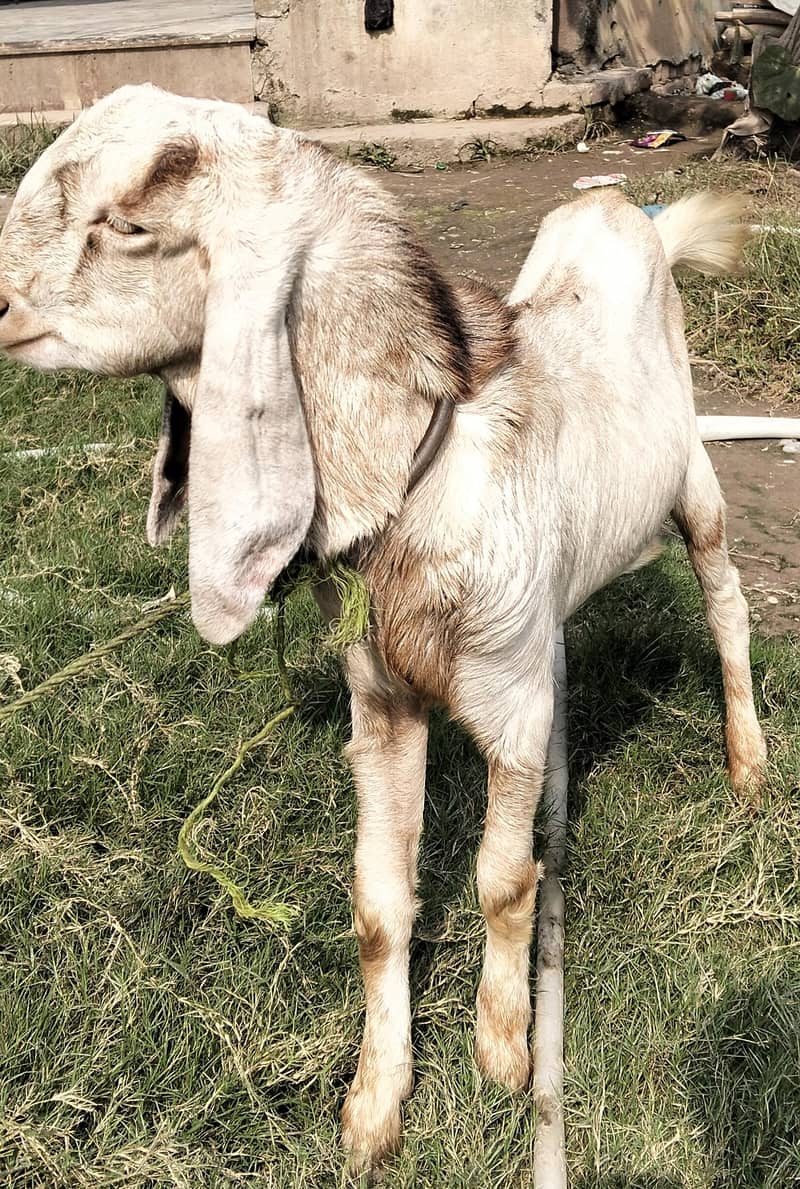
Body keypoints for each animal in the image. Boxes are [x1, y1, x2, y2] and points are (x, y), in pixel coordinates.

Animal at [0, 86, 766, 1176]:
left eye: (132, 224)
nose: (2, 310)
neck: (417, 481)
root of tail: (624, 209)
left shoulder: (510, 703)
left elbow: (501, 877)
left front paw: (503, 1047)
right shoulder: (385, 701)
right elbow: (376, 904)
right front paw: (372, 1107)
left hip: (693, 474)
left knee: (725, 596)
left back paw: (746, 761)